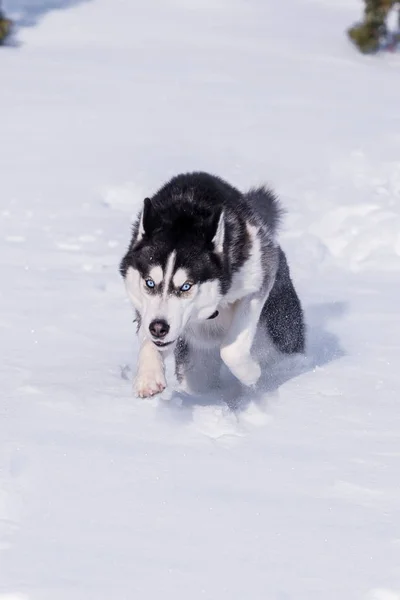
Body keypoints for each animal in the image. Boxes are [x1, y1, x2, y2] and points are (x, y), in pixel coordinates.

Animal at [120, 172, 304, 398]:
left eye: (186, 286)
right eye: (150, 282)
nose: (159, 328)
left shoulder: (257, 281)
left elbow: (231, 351)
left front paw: (251, 373)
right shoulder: (146, 311)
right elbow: (147, 338)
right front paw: (148, 375)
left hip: (281, 326)